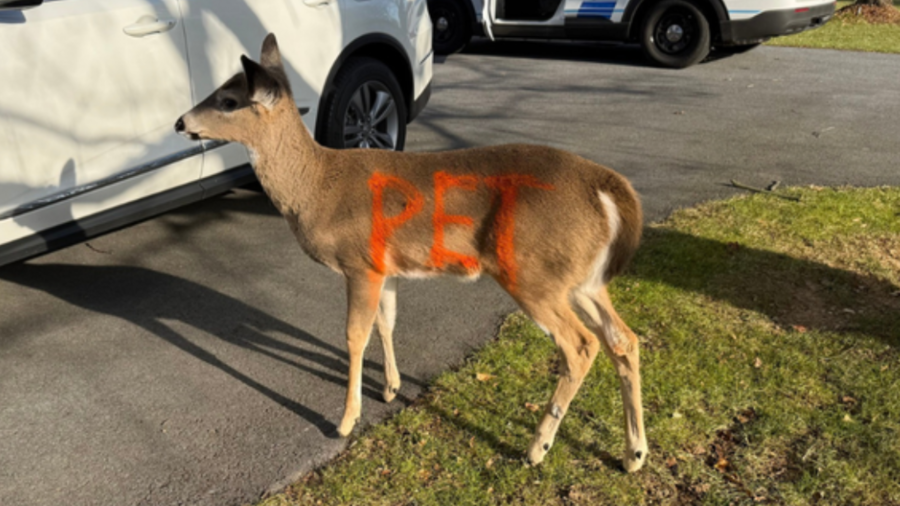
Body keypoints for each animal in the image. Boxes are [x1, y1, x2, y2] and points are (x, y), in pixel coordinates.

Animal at [175, 34, 648, 471]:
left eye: (229, 100)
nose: (180, 122)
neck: (316, 187)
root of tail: (607, 188)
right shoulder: (386, 268)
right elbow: (387, 322)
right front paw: (390, 387)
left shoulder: (360, 263)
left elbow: (354, 335)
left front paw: (346, 420)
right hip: (584, 279)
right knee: (624, 339)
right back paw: (634, 454)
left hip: (533, 271)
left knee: (581, 345)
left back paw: (538, 448)